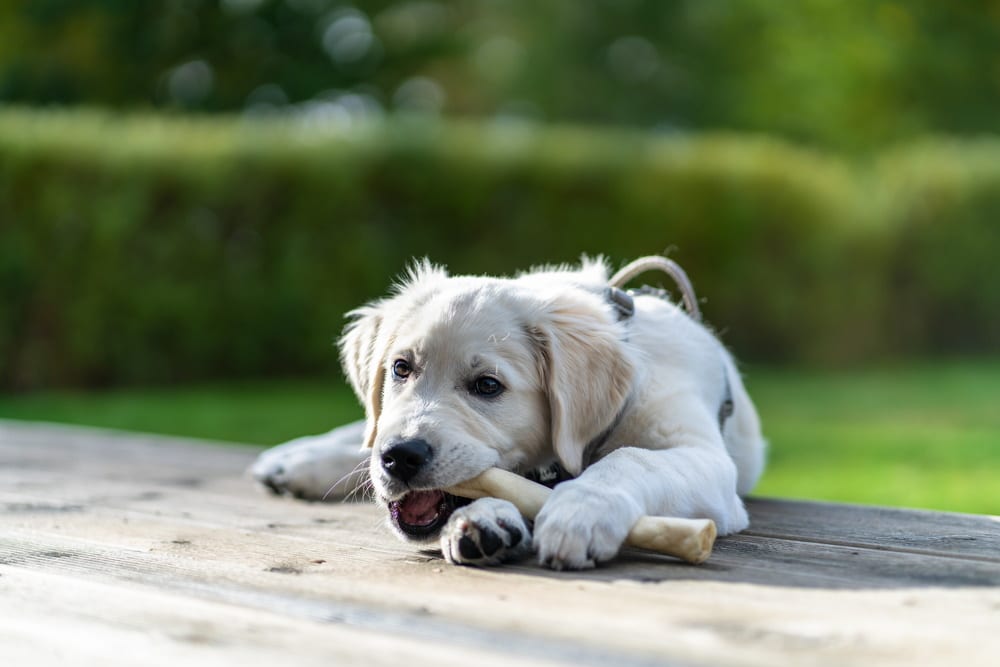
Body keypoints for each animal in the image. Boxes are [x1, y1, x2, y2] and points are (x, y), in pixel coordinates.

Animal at [252, 258, 764, 572]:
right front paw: (491, 519)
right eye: (401, 367)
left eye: (487, 386)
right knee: (362, 437)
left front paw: (580, 510)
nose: (400, 457)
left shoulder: (705, 457)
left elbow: (633, 458)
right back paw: (294, 461)